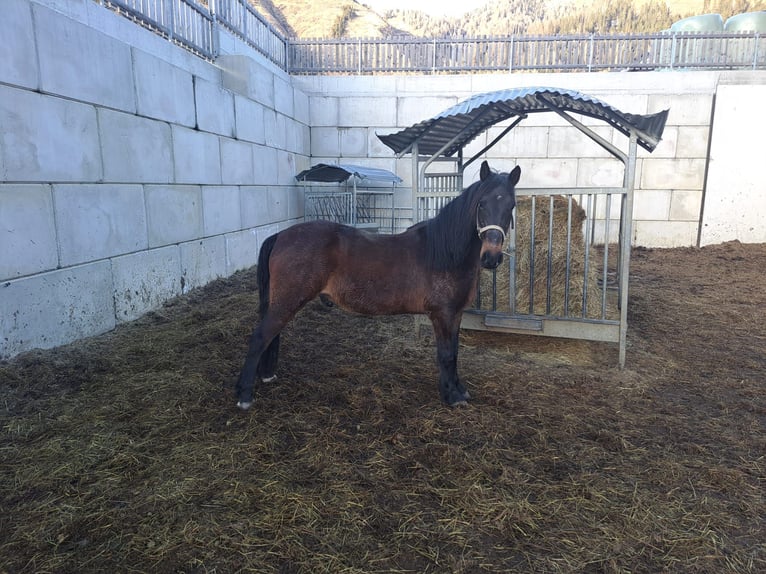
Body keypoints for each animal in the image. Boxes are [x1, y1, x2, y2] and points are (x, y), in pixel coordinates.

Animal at [236, 161, 520, 410]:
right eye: (481, 204)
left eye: (511, 206)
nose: (491, 257)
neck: (445, 252)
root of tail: (280, 235)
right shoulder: (442, 314)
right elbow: (446, 354)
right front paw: (452, 396)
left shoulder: (456, 314)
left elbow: (455, 352)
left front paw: (459, 390)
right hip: (287, 301)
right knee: (260, 337)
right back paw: (244, 396)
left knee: (271, 336)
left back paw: (266, 376)